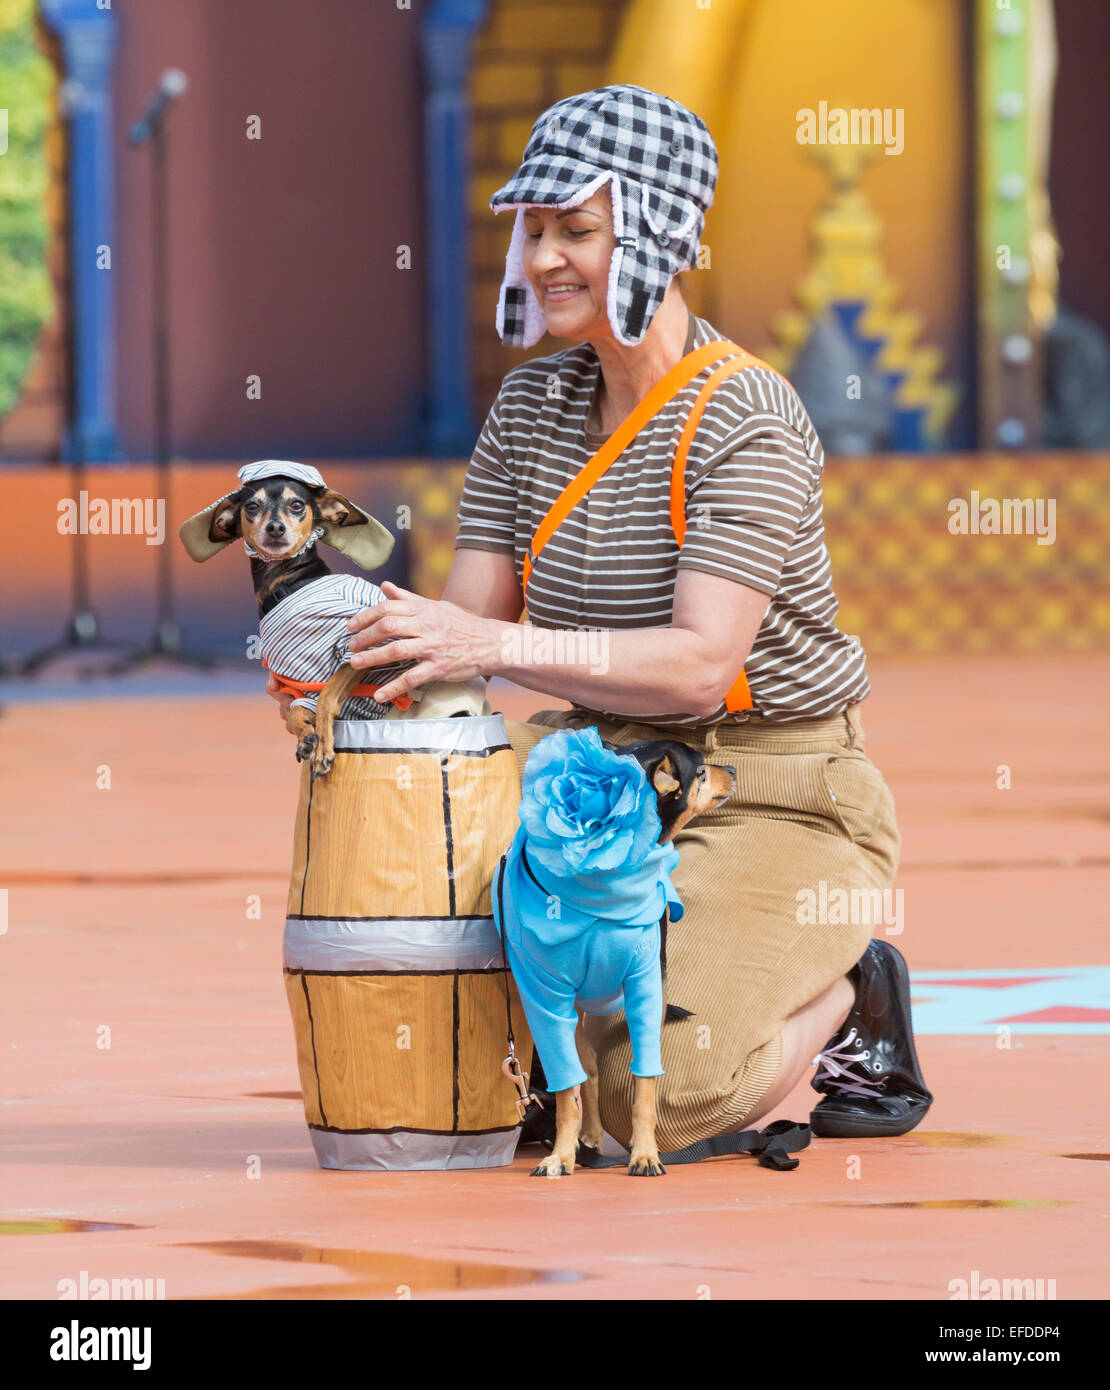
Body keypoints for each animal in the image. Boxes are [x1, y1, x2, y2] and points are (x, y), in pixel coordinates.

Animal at [180, 464, 489, 772]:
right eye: (252, 506)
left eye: (297, 505)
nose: (275, 527)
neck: (288, 582)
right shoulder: (304, 685)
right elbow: (297, 713)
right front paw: (307, 738)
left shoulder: (360, 648)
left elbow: (328, 698)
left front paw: (323, 750)